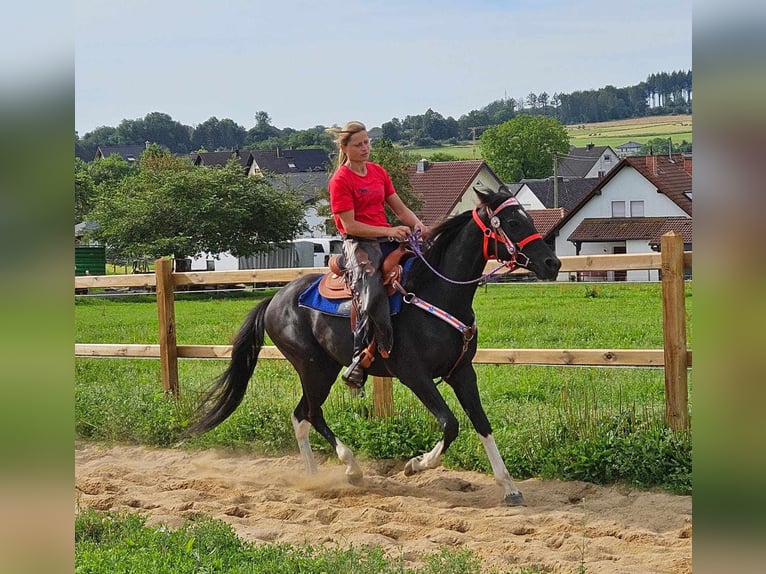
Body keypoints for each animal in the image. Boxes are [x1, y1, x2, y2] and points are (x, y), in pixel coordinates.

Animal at [188, 187, 564, 506]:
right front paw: (415, 464)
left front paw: (510, 487)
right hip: (314, 368)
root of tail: (275, 299)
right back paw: (350, 468)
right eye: (513, 223)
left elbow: (482, 423)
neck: (435, 292)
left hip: (321, 368)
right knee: (310, 413)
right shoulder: (414, 375)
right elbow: (451, 424)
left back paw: (314, 475)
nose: (553, 263)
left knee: (301, 415)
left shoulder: (462, 372)